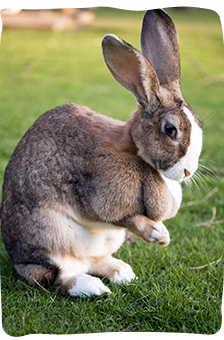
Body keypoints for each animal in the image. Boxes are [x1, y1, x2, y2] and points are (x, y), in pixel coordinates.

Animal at [0, 9, 203, 298]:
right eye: (170, 129)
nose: (188, 171)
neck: (136, 151)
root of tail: (16, 257)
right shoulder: (100, 198)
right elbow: (127, 217)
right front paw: (159, 235)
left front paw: (162, 237)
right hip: (50, 238)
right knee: (56, 276)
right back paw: (93, 288)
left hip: (102, 242)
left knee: (94, 261)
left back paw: (123, 273)